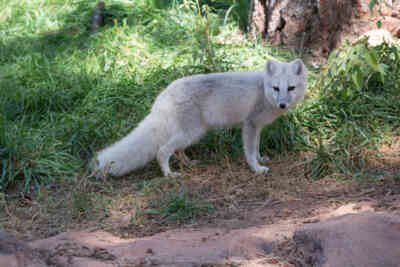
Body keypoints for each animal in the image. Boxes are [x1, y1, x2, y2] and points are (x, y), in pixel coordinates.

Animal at [92, 58, 308, 178]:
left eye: (290, 88)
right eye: (276, 88)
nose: (282, 105)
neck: (263, 90)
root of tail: (163, 96)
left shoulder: (257, 128)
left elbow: (255, 147)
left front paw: (261, 159)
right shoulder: (250, 125)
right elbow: (249, 151)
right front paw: (256, 168)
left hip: (193, 134)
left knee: (177, 151)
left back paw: (188, 164)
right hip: (190, 133)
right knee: (162, 151)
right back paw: (169, 174)